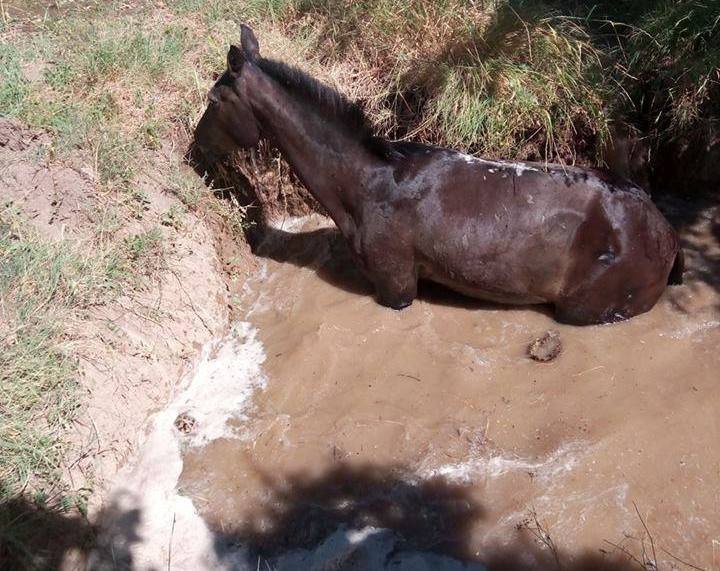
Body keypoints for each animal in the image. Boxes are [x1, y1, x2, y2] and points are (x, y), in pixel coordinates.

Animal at [193, 25, 680, 326]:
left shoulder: (394, 286)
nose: (195, 150)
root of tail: (665, 229)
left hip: (588, 305)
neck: (364, 184)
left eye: (214, 101)